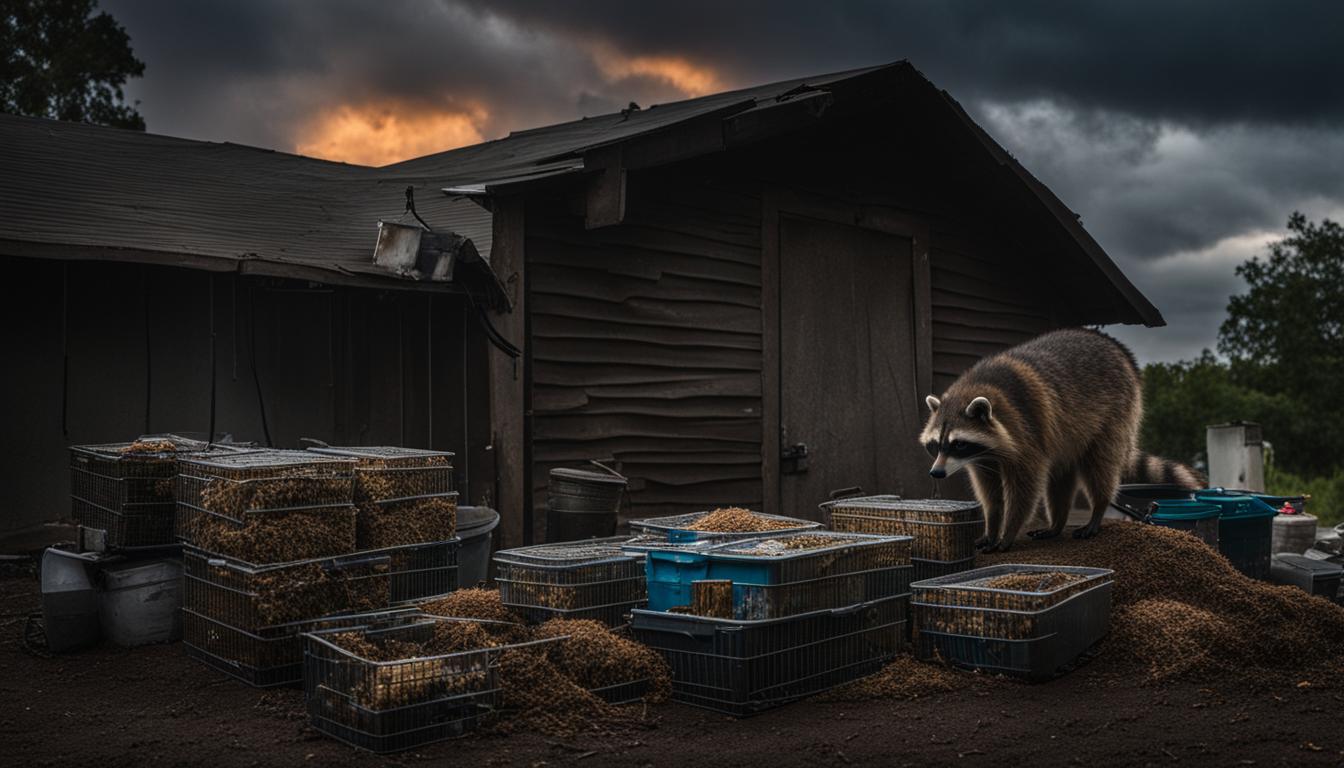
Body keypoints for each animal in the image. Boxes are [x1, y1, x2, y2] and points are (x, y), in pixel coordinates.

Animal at [919, 328, 1193, 548]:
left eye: (958, 443)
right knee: (1061, 477)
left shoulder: (1027, 430)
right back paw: (1057, 523)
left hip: (1115, 413)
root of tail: (1120, 350)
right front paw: (992, 525)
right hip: (1068, 437)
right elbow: (990, 492)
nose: (936, 473)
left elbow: (1026, 487)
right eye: (935, 445)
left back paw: (1098, 508)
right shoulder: (982, 457)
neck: (977, 387)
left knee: (1101, 465)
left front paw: (1009, 530)